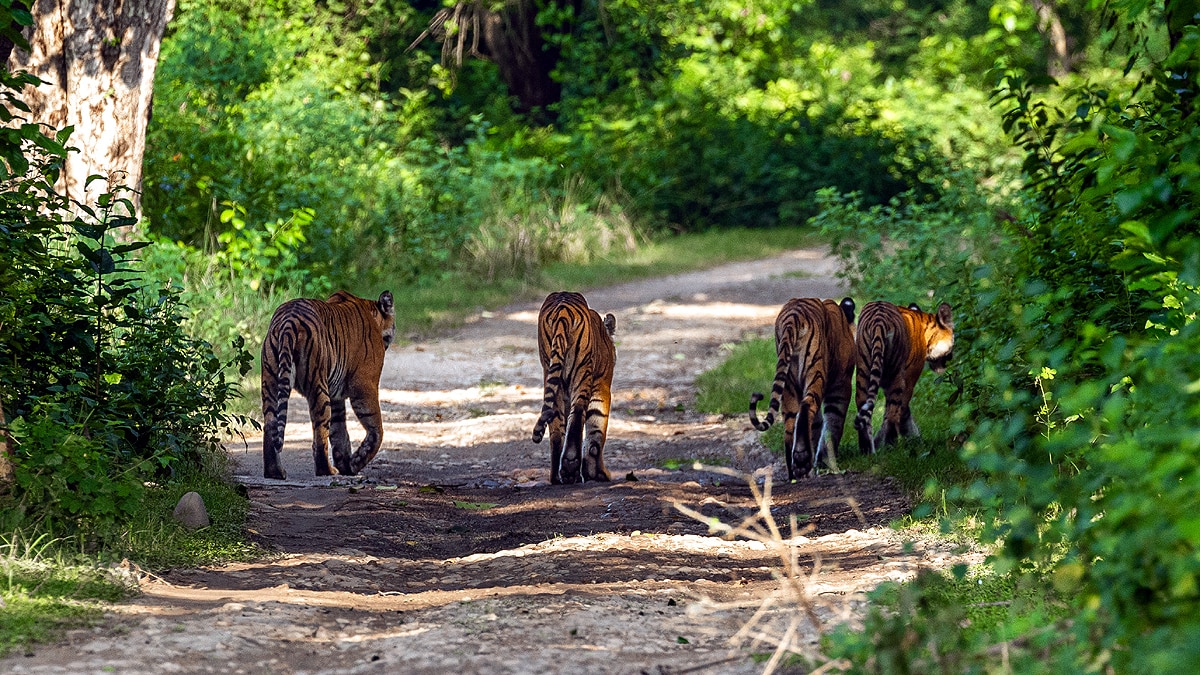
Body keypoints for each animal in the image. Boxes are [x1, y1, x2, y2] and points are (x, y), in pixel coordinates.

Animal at [260, 290, 396, 480]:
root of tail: (289, 320)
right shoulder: (364, 385)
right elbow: (376, 429)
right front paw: (356, 462)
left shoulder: (336, 395)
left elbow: (339, 431)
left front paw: (346, 464)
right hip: (318, 386)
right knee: (320, 431)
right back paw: (327, 470)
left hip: (270, 382)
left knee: (270, 424)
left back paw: (275, 472)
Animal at [531, 291, 617, 484]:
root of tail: (562, 311)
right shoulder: (601, 385)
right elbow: (596, 429)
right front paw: (598, 473)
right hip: (582, 371)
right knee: (578, 413)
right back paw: (571, 468)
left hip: (552, 374)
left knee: (556, 428)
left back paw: (557, 477)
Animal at [749, 297, 857, 480]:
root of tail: (794, 315)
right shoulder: (841, 384)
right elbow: (833, 422)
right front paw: (826, 461)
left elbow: (817, 425)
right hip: (815, 372)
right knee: (807, 406)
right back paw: (802, 459)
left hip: (788, 383)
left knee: (791, 423)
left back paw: (794, 472)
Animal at [853, 300, 954, 454]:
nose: (951, 357)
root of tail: (878, 321)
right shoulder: (909, 381)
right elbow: (899, 411)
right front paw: (913, 438)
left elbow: (899, 412)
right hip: (896, 377)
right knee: (892, 415)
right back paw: (890, 446)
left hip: (863, 372)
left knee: (864, 410)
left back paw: (867, 450)